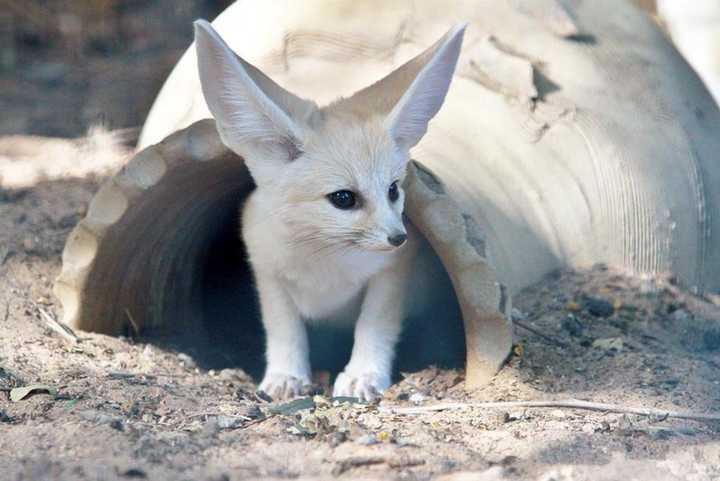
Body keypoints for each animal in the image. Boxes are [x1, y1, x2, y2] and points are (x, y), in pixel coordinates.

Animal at [191, 20, 464, 400]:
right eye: (344, 198)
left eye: (393, 190)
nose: (398, 237)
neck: (322, 259)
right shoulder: (267, 272)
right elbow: (284, 329)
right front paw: (285, 376)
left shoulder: (392, 271)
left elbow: (374, 325)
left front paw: (363, 374)